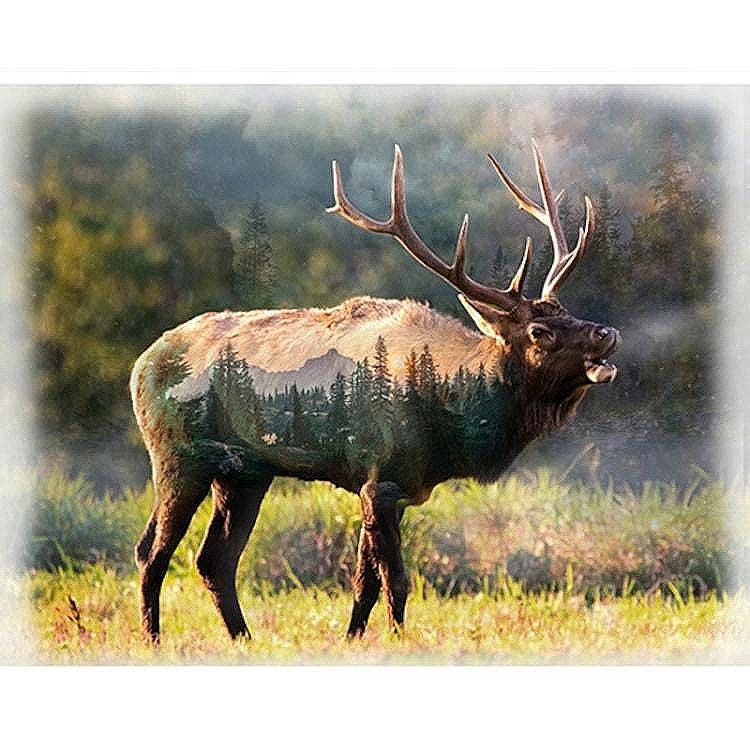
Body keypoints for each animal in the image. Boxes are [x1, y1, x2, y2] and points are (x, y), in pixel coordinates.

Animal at [130, 140, 620, 643]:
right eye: (540, 332)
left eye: (566, 310)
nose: (607, 333)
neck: (449, 424)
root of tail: (140, 365)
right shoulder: (380, 478)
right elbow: (396, 581)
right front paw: (397, 639)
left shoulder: (391, 487)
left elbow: (364, 582)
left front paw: (353, 638)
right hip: (179, 456)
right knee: (151, 551)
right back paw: (153, 637)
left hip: (245, 473)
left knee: (215, 561)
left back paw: (242, 638)